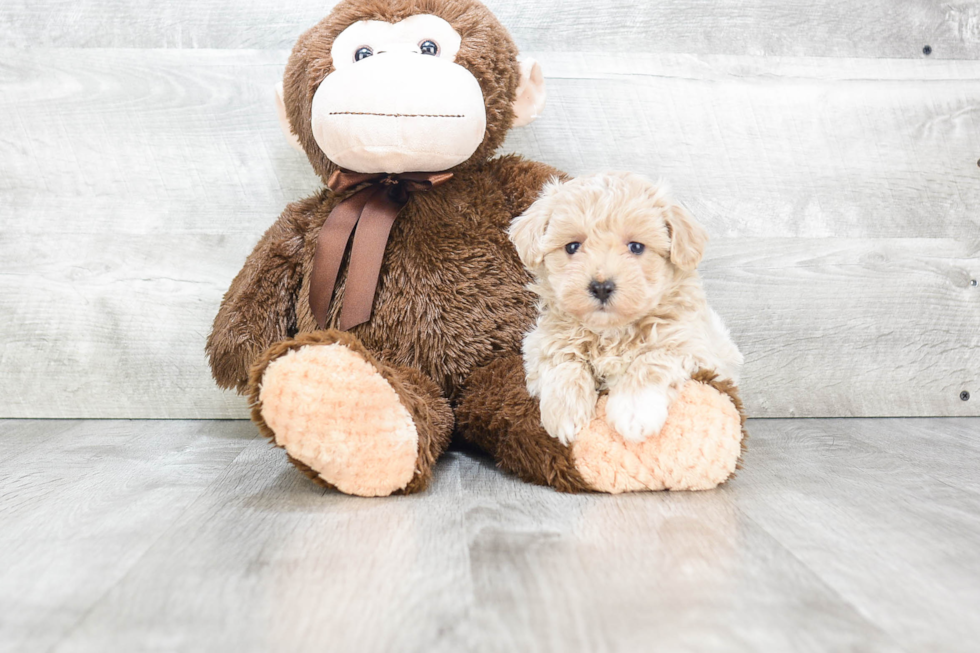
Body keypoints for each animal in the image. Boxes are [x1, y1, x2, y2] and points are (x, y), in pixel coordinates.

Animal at [510, 171, 740, 444]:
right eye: (572, 247)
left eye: (636, 247)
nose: (601, 287)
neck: (612, 331)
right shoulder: (540, 342)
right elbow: (562, 359)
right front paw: (565, 412)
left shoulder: (691, 345)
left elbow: (651, 360)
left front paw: (634, 411)